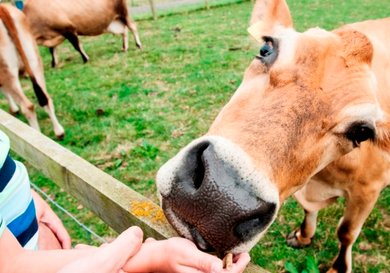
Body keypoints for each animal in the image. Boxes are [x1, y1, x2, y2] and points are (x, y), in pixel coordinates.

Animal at [0, 4, 64, 138]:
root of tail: (3, 8)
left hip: (7, 72)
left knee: (28, 106)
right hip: (34, 62)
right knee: (46, 99)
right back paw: (59, 132)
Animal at [155, 1, 390, 270]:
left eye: (362, 131)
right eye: (266, 48)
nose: (220, 202)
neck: (319, 183)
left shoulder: (368, 190)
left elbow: (347, 232)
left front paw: (338, 268)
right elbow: (308, 211)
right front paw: (303, 236)